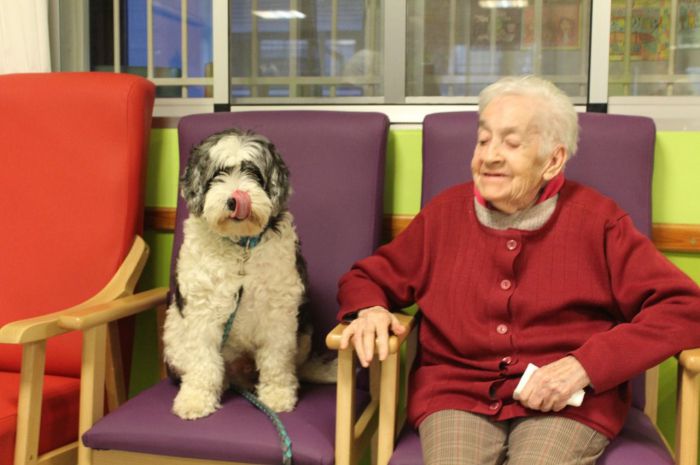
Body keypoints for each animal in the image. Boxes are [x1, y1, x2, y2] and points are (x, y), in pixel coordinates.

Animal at [164, 129, 328, 418]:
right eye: (218, 173)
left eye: (253, 172)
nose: (235, 198)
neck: (241, 248)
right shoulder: (201, 311)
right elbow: (202, 359)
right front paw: (196, 399)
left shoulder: (278, 311)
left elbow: (276, 360)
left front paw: (277, 395)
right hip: (173, 335)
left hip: (305, 332)